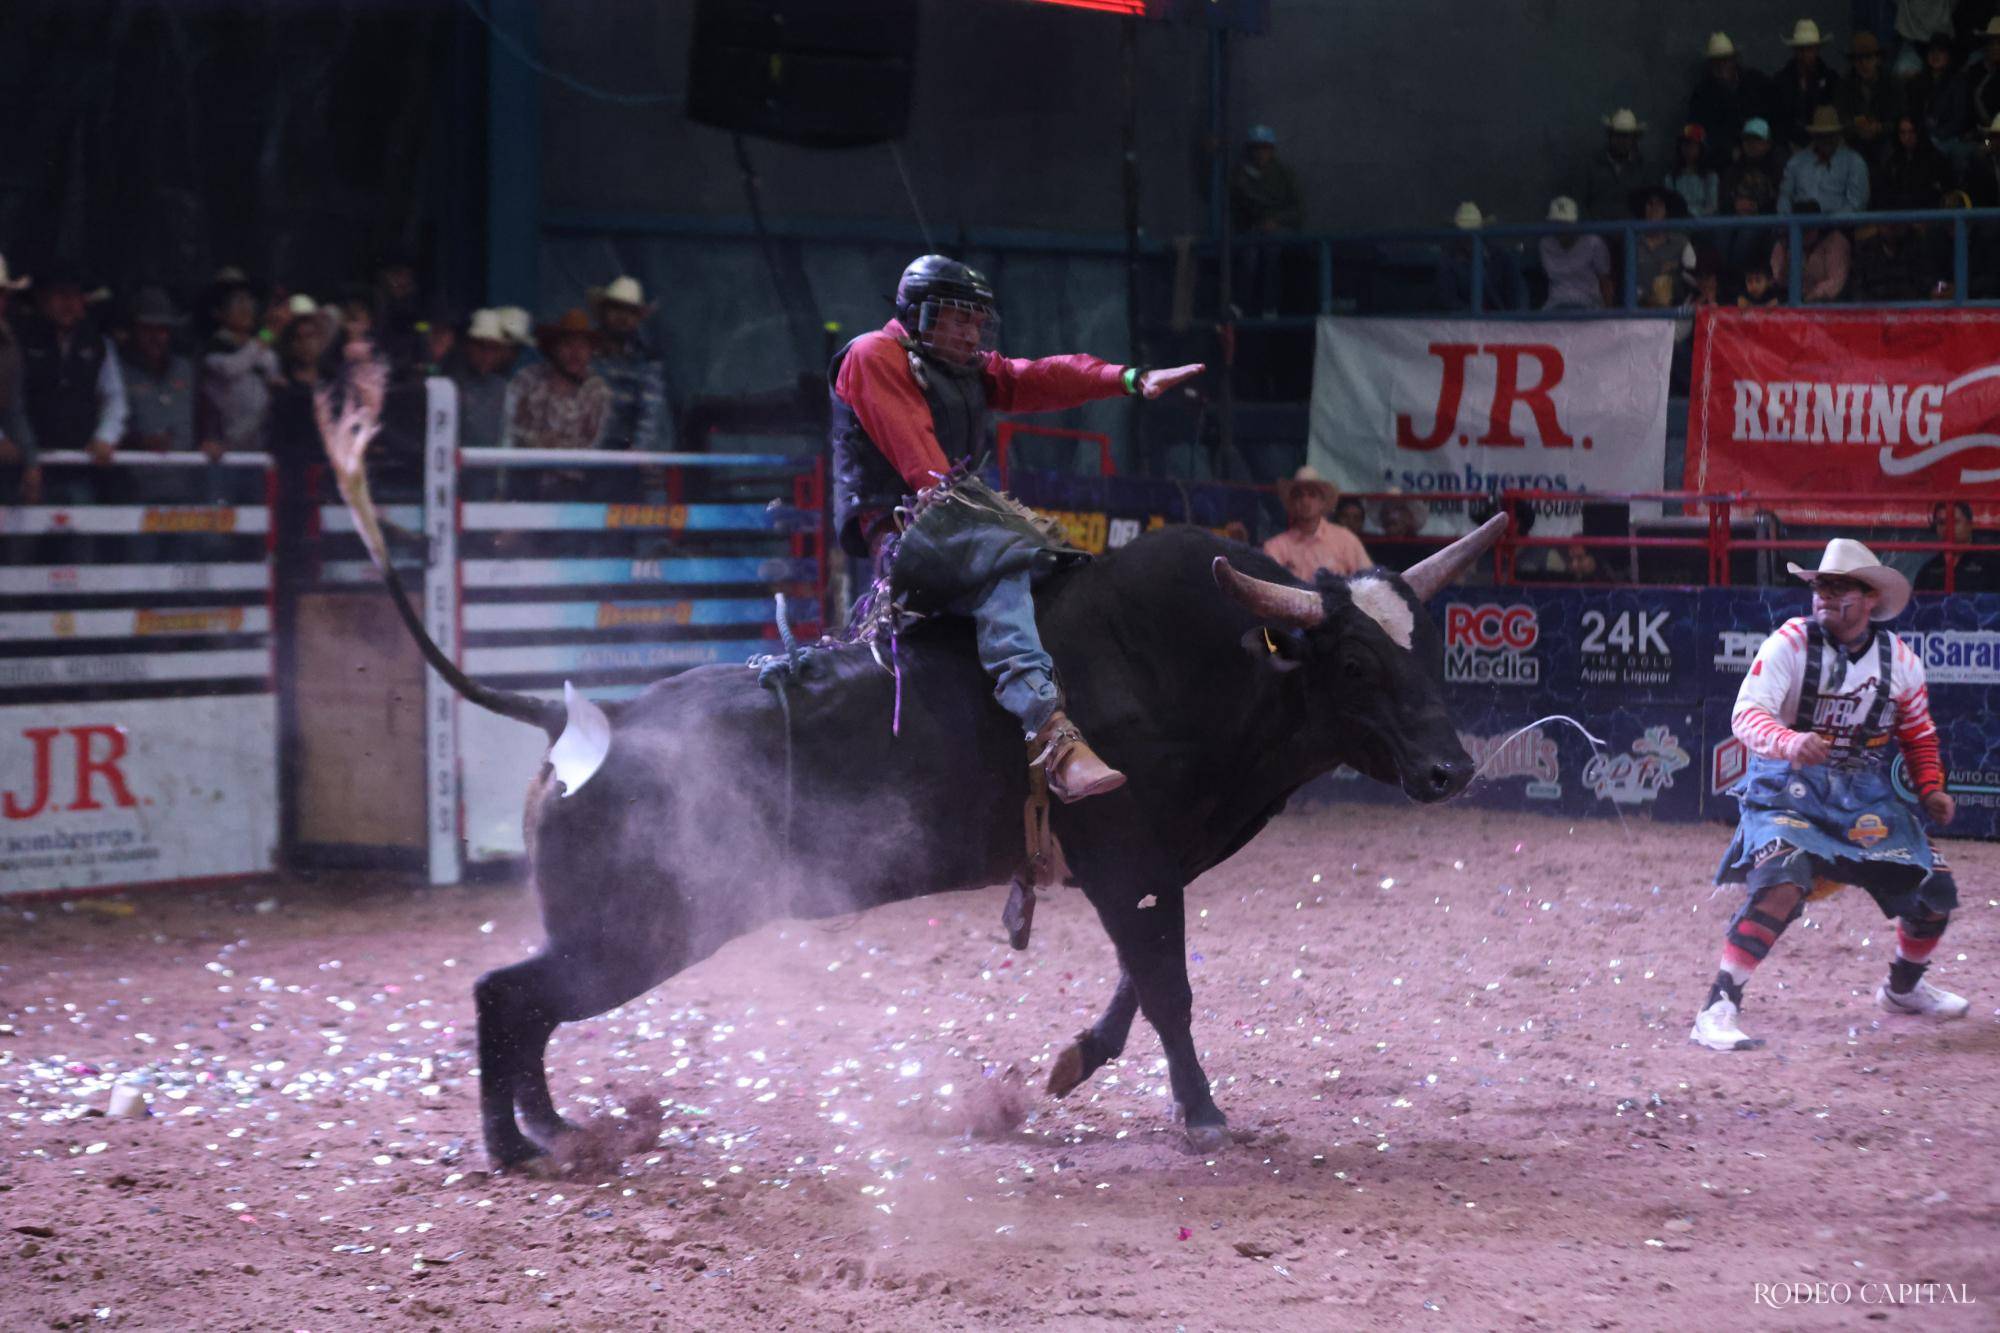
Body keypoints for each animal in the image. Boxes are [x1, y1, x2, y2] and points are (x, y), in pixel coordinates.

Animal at [378, 512, 1504, 1160]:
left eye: (1423, 645)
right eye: (1352, 662)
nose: (1450, 769)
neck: (1200, 662)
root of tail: (578, 723)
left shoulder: (1152, 864)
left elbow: (1140, 980)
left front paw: (1071, 1063)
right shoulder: (1122, 855)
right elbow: (1167, 985)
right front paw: (1203, 1116)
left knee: (524, 1007)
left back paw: (555, 1130)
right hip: (640, 931)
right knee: (508, 997)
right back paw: (515, 1145)